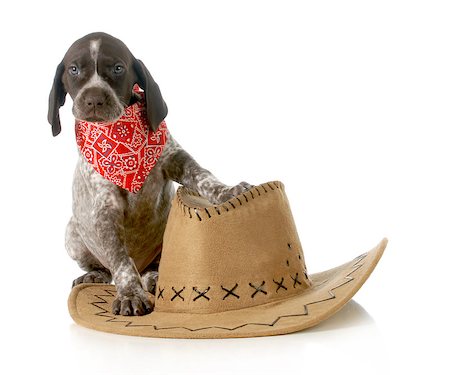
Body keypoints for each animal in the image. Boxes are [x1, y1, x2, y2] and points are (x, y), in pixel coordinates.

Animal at [50, 32, 253, 316]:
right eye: (74, 69)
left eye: (118, 68)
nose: (94, 100)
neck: (121, 137)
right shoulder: (104, 209)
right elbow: (121, 261)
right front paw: (129, 294)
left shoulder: (174, 158)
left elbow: (203, 176)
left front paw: (229, 191)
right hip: (72, 234)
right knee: (107, 265)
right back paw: (97, 275)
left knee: (153, 267)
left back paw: (153, 277)